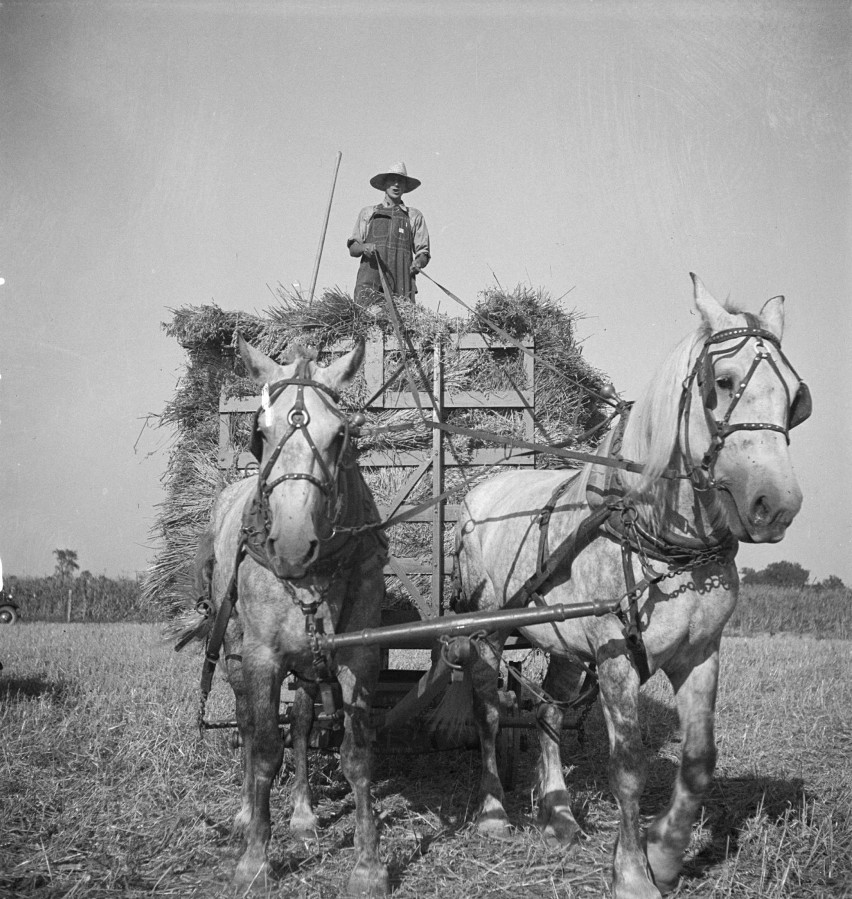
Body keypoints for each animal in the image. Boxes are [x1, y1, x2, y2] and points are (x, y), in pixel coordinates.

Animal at [450, 276, 808, 899]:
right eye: (722, 382)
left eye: (795, 398)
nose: (777, 505)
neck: (665, 542)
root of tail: (482, 485)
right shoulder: (615, 659)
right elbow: (629, 768)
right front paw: (634, 873)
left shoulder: (700, 653)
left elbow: (699, 760)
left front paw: (664, 853)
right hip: (485, 631)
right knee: (490, 712)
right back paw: (494, 812)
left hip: (564, 644)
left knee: (549, 714)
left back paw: (560, 816)